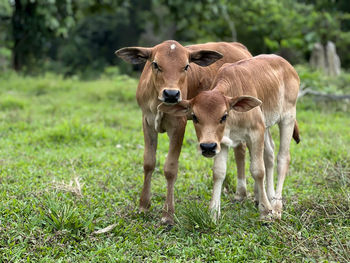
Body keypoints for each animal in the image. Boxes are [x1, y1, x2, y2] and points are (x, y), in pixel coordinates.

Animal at [117, 40, 252, 225]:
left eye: (186, 66)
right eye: (155, 64)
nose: (171, 94)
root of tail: (239, 46)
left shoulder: (178, 125)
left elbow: (170, 168)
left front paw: (168, 214)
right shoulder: (147, 122)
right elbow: (149, 162)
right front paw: (143, 205)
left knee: (242, 149)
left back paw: (241, 192)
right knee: (239, 149)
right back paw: (240, 193)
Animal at [160, 55, 300, 221]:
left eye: (223, 116)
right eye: (194, 117)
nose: (207, 147)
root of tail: (286, 64)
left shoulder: (256, 132)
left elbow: (258, 170)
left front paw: (266, 211)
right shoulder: (222, 142)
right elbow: (219, 172)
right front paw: (213, 212)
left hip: (288, 117)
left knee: (283, 158)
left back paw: (277, 205)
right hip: (266, 125)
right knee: (270, 154)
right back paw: (270, 197)